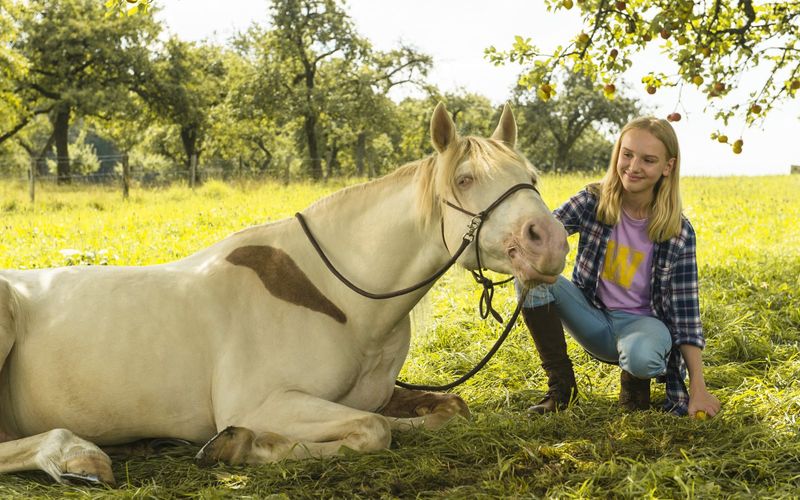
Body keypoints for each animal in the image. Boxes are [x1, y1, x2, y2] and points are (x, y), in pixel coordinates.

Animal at [0, 102, 568, 484]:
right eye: (466, 179)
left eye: (532, 176)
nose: (550, 241)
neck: (336, 300)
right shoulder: (263, 402)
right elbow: (372, 431)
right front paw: (239, 447)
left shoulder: (377, 394)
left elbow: (443, 411)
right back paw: (76, 455)